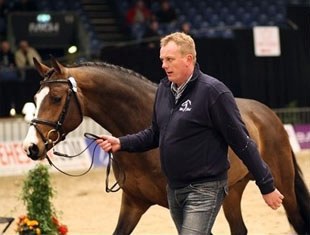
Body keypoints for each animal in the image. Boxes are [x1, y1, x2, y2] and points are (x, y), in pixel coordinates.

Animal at [23, 58, 308, 235]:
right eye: (35, 98)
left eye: (56, 97)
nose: (31, 147)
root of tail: (267, 115)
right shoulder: (133, 204)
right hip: (232, 192)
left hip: (284, 188)